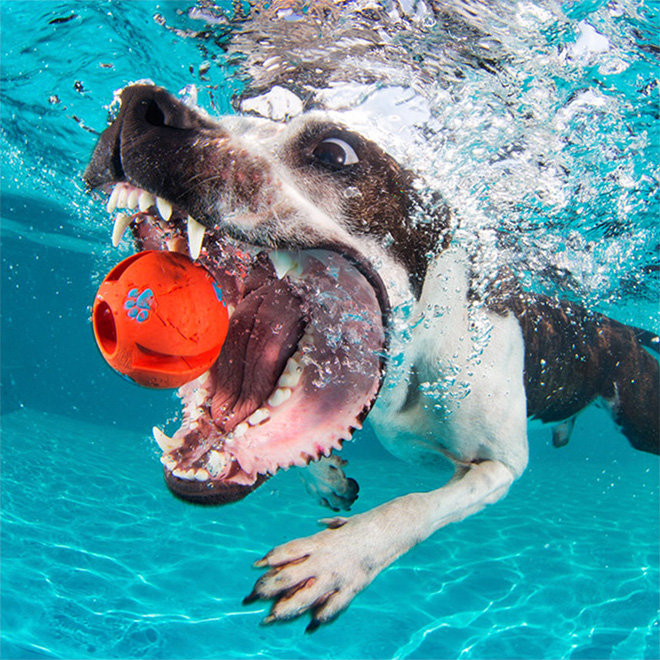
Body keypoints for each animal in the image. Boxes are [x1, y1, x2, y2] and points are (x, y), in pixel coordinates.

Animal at [84, 85, 660, 632]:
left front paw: (339, 556)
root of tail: (616, 327)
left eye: (334, 153)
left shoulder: (498, 466)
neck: (413, 359)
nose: (139, 103)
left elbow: (415, 506)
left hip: (639, 415)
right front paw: (326, 477)